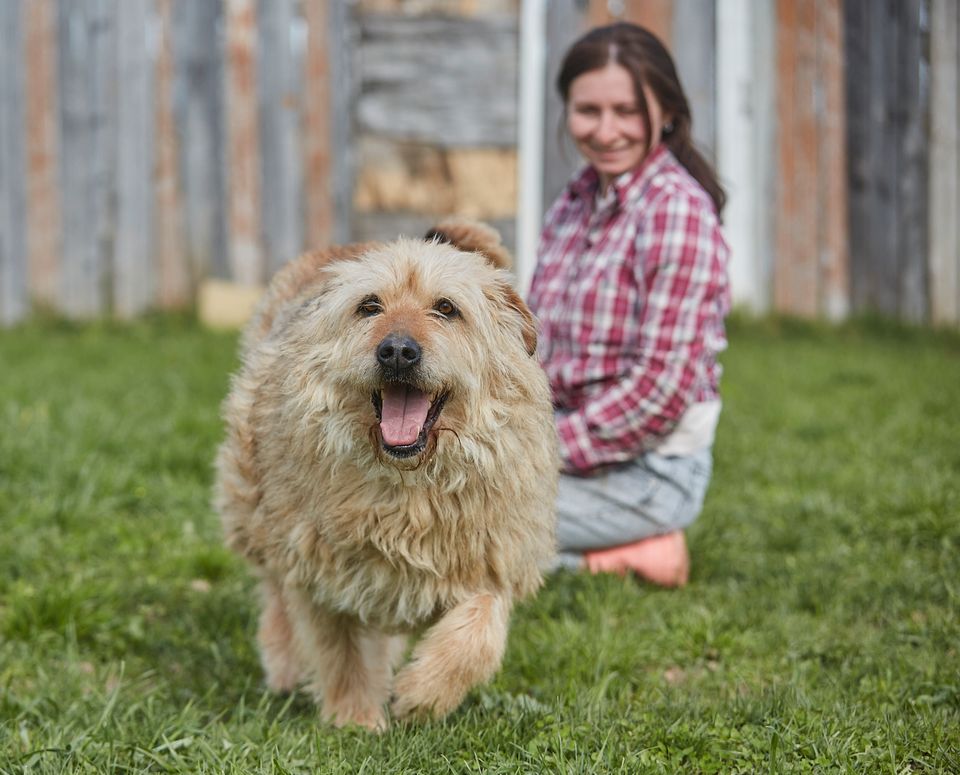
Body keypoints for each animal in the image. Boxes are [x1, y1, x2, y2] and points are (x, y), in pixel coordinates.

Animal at [214, 221, 560, 732]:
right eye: (369, 306)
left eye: (446, 308)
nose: (397, 350)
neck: (408, 483)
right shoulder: (318, 571)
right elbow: (340, 651)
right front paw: (355, 717)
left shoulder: (495, 557)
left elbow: (477, 634)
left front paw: (424, 693)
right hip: (255, 506)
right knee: (277, 592)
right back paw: (285, 664)